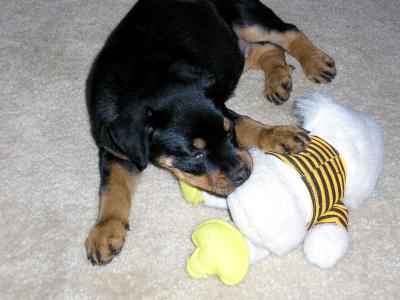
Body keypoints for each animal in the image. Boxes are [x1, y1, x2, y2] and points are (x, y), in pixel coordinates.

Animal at [86, 0, 336, 264]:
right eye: (195, 154)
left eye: (228, 133)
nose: (245, 174)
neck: (141, 82)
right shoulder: (114, 149)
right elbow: (112, 187)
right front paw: (104, 232)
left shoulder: (223, 109)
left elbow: (247, 124)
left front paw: (279, 134)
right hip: (236, 51)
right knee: (267, 49)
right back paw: (279, 80)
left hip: (247, 20)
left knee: (287, 33)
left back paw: (315, 62)